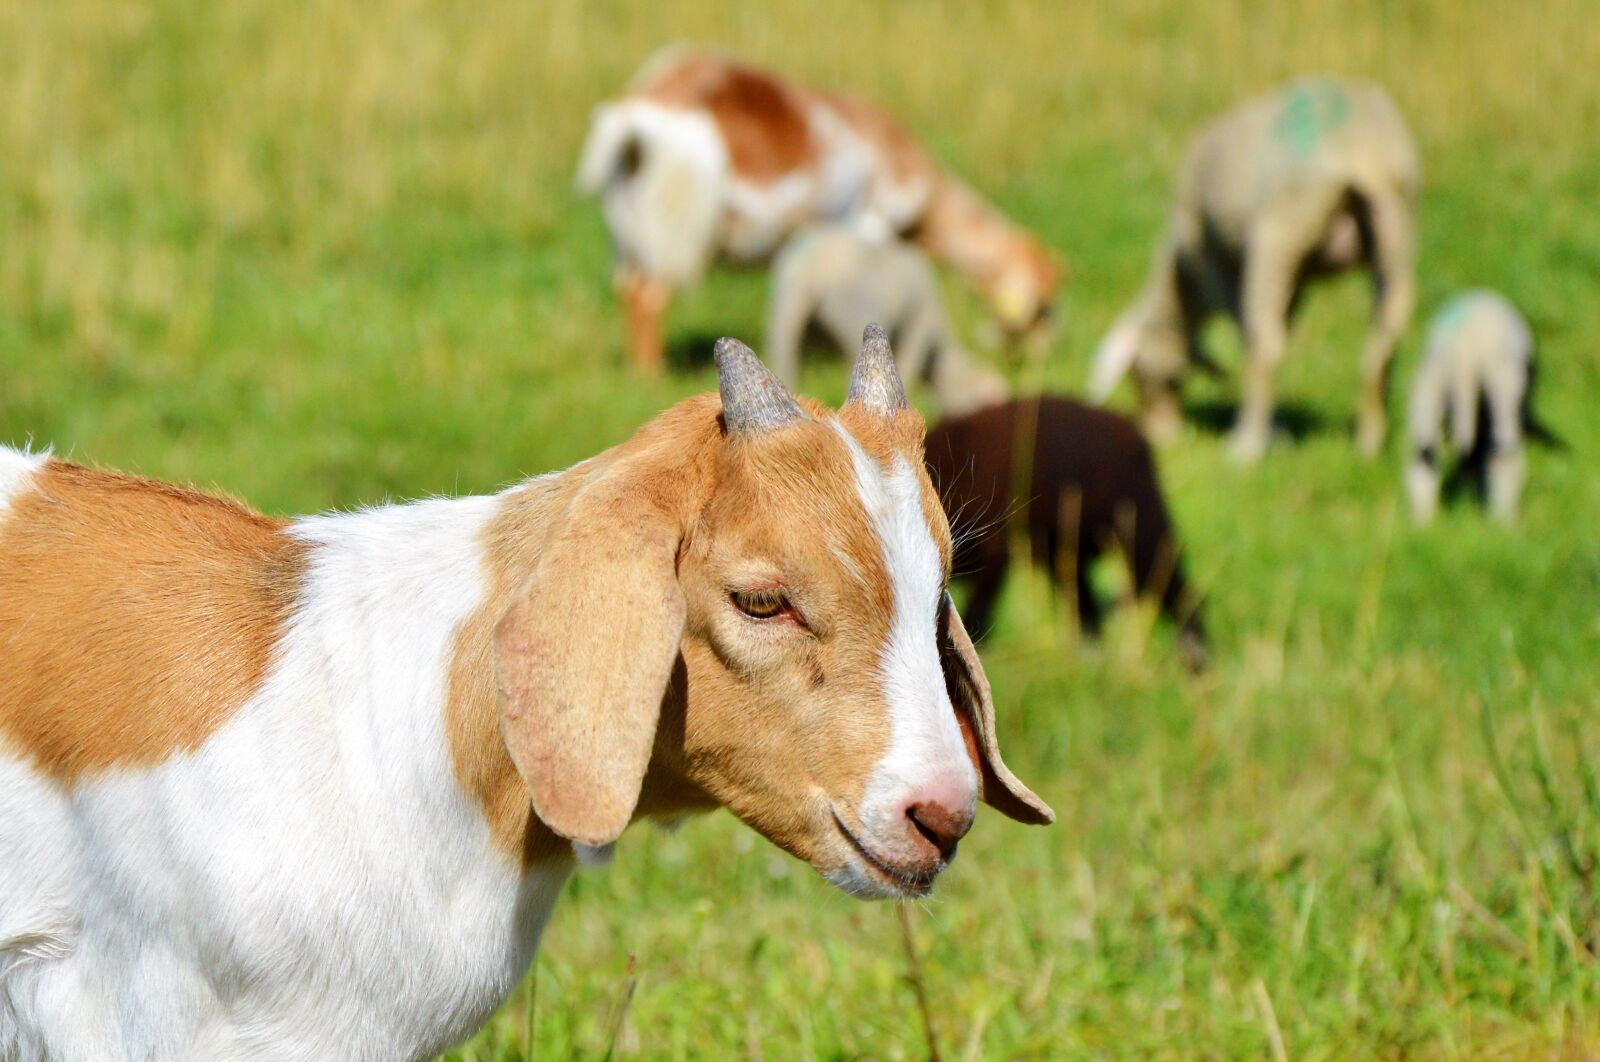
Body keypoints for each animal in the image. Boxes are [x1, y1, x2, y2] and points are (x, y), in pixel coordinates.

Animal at [578, 46, 1062, 372]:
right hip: (675, 225)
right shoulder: (870, 221)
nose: (1040, 358)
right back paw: (651, 375)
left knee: (627, 288)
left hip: (629, 224)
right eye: (1043, 306)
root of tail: (637, 114)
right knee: (649, 296)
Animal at [924, 395, 1208, 669]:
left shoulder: (995, 549)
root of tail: (1135, 433)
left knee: (1173, 586)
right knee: (1088, 603)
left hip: (1141, 524)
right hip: (1068, 546)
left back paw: (1197, 660)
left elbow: (978, 610)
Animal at [1091, 77, 1420, 462]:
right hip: (1396, 225)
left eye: (1141, 375)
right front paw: (1278, 431)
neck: (1181, 281)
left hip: (1281, 229)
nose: (1163, 435)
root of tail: (1365, 147)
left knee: (1267, 346)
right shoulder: (1297, 280)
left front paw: (1272, 433)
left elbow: (1249, 332)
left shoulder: (1214, 266)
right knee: (1384, 338)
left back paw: (1245, 446)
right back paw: (1368, 443)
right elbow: (1282, 325)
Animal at [1406, 290, 1549, 524]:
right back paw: (1504, 520)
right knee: (1503, 453)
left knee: (1424, 455)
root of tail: (1464, 356)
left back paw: (1423, 521)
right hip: (1504, 386)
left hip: (1428, 388)